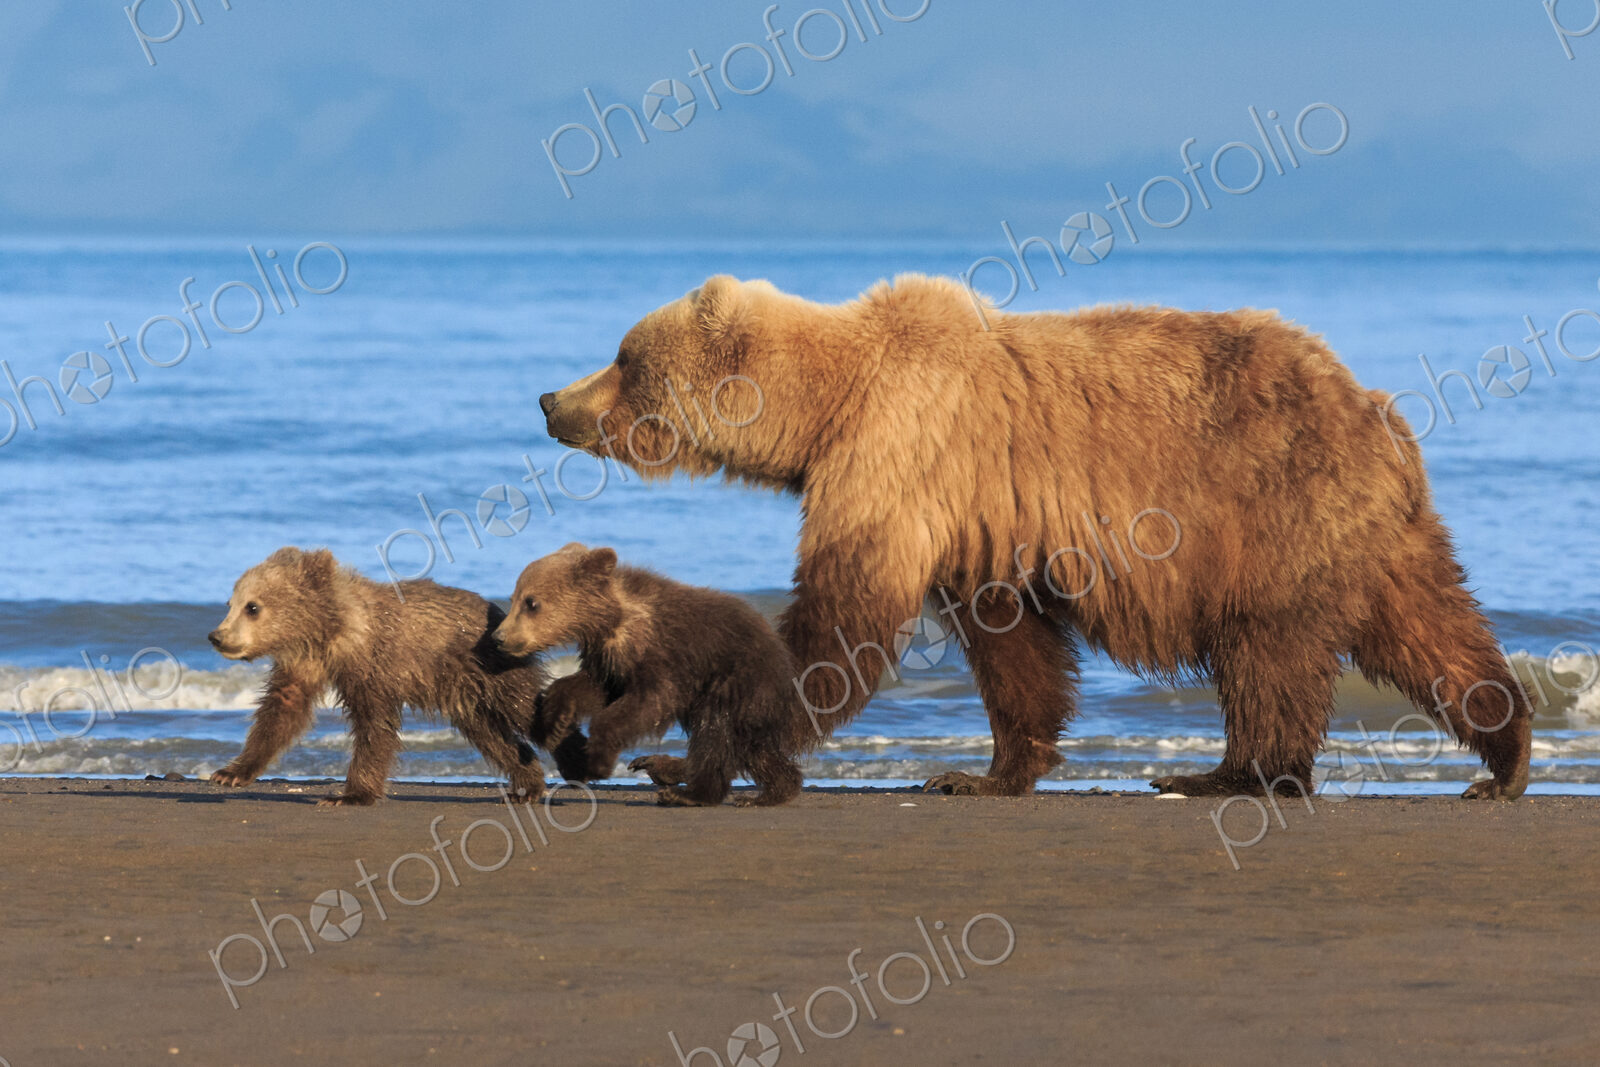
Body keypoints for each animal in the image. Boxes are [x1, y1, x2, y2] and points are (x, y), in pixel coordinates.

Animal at [207, 547, 549, 806]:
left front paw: (349, 795)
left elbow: (375, 724)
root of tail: (504, 616)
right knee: (490, 735)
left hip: (492, 669)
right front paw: (230, 772)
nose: (217, 636)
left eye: (252, 607)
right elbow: (281, 710)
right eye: (230, 603)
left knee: (524, 709)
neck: (328, 631)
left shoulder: (374, 665)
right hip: (466, 694)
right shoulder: (304, 664)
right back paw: (527, 784)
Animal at [492, 543, 806, 807]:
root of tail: (784, 656)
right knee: (753, 746)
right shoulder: (611, 659)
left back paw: (688, 792)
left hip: (735, 679)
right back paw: (774, 790)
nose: (498, 637)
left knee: (716, 731)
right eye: (514, 597)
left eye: (531, 602)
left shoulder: (661, 654)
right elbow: (591, 687)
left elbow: (649, 701)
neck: (614, 622)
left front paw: (596, 760)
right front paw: (556, 721)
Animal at [536, 274, 1532, 800]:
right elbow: (1013, 647)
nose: (551, 400)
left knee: (1268, 652)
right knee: (1432, 624)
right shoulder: (981, 530)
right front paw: (985, 772)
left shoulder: (899, 459)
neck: (828, 408)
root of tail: (1380, 414)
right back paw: (1506, 750)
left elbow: (843, 617)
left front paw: (679, 756)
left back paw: (1227, 773)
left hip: (1266, 513)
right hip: (1372, 531)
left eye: (622, 358)